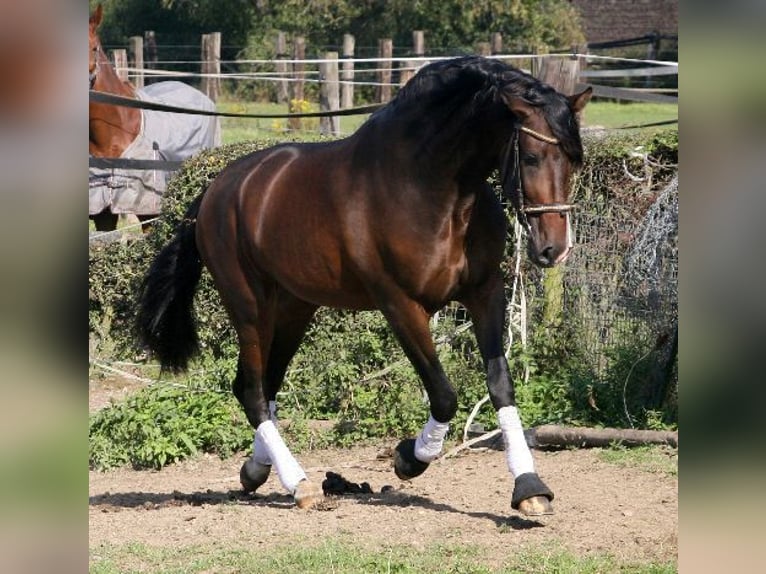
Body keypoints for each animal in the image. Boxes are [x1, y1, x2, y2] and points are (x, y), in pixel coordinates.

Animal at [138, 56, 592, 520]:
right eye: (532, 157)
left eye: (574, 160)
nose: (554, 248)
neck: (433, 187)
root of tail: (215, 190)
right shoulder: (400, 304)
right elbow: (444, 395)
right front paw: (409, 458)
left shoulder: (486, 293)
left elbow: (500, 384)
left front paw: (529, 486)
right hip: (248, 307)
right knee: (252, 391)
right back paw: (299, 484)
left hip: (294, 308)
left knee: (264, 385)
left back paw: (256, 470)